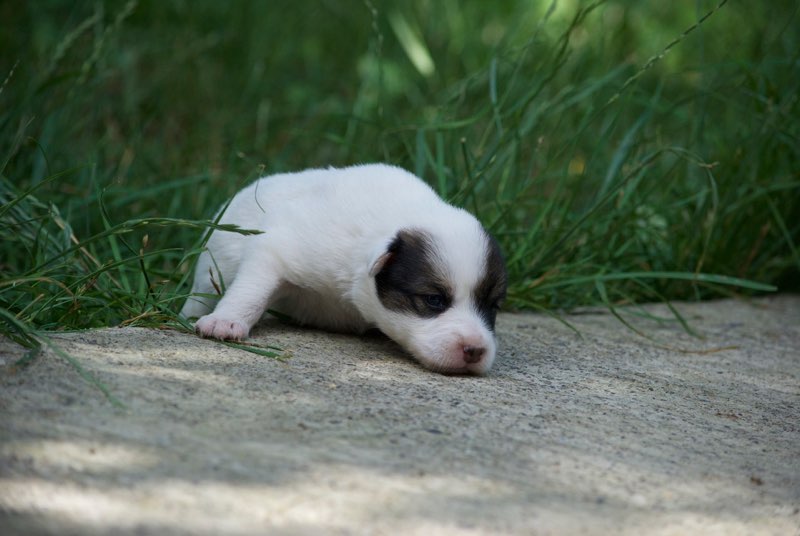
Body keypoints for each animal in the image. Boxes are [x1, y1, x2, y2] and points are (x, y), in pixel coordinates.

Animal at [180, 163, 506, 372]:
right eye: (434, 300)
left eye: (493, 306)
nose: (475, 350)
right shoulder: (278, 246)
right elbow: (252, 287)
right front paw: (226, 321)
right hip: (210, 266)